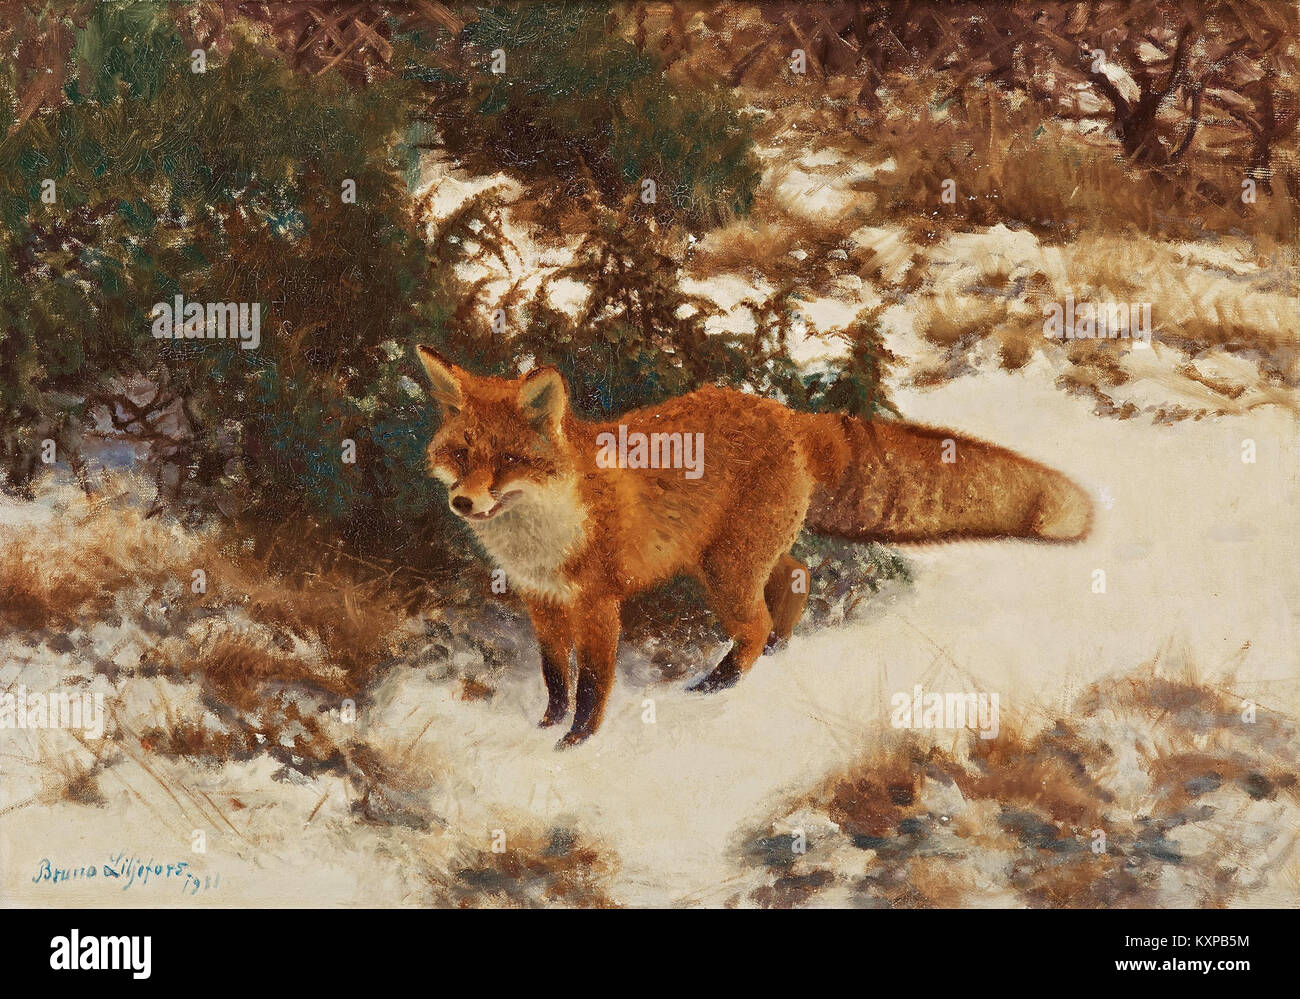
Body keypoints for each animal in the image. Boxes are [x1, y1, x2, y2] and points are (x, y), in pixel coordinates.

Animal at [416, 345, 1092, 748]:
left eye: (508, 460)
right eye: (461, 454)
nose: (463, 504)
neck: (541, 534)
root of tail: (787, 414)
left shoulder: (599, 603)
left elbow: (591, 685)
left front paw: (574, 743)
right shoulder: (541, 601)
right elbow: (555, 676)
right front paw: (545, 725)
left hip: (725, 570)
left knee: (757, 619)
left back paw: (721, 683)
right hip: (737, 557)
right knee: (796, 577)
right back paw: (779, 652)